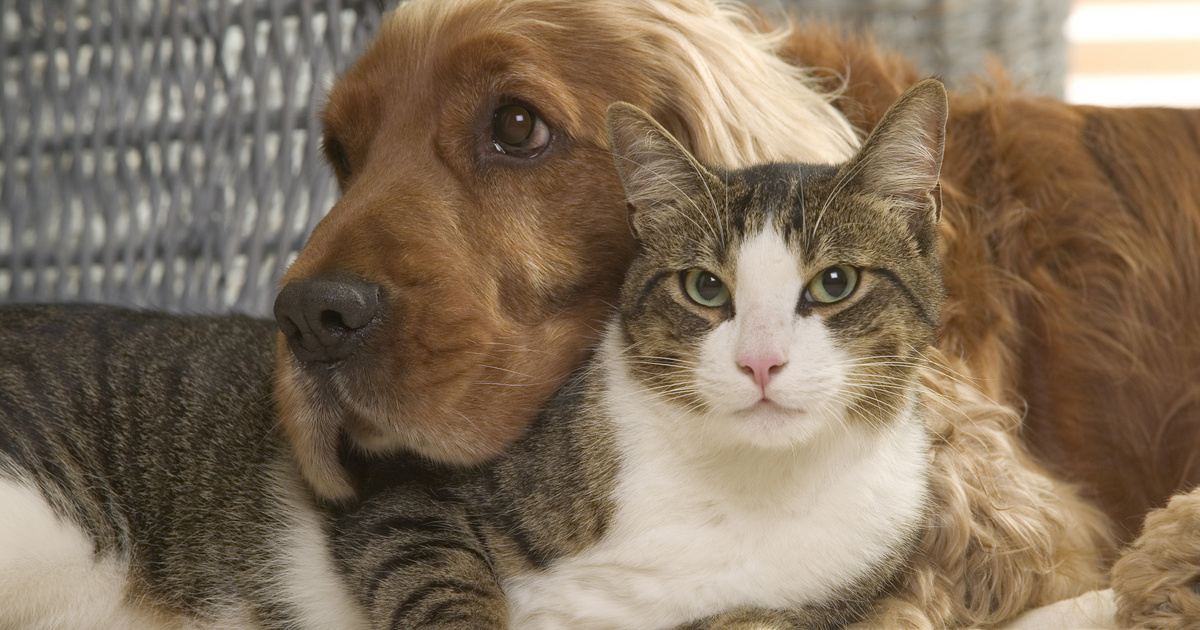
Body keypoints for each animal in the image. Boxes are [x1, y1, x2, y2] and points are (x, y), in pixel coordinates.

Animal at [0, 79, 945, 628]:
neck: (741, 490)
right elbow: (444, 585)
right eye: (705, 289)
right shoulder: (394, 486)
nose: (760, 363)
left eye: (835, 283)